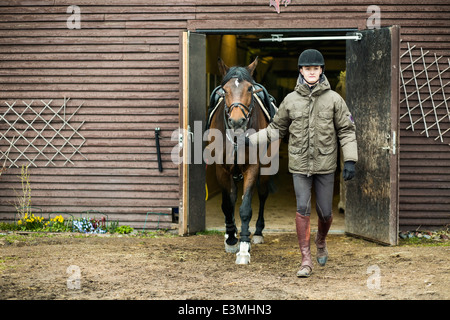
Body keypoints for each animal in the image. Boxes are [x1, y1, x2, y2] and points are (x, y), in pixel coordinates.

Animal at [205, 58, 276, 264]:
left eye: (249, 89)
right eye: (224, 90)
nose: (237, 121)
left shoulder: (252, 168)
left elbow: (245, 208)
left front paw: (244, 248)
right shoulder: (221, 170)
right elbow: (227, 204)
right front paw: (231, 238)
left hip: (266, 170)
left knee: (262, 195)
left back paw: (257, 233)